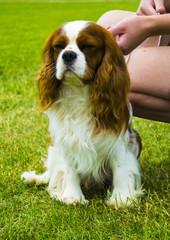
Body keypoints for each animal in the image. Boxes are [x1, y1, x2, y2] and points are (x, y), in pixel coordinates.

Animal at [21, 21, 143, 208]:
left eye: (87, 46)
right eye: (58, 46)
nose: (68, 55)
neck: (79, 91)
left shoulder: (118, 139)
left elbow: (120, 167)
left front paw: (121, 199)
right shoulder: (65, 138)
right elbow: (69, 169)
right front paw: (73, 196)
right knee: (53, 169)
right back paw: (36, 178)